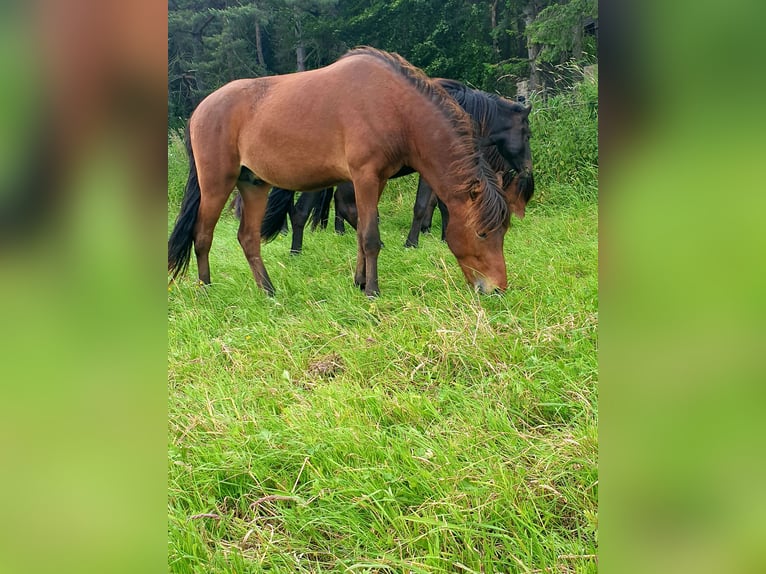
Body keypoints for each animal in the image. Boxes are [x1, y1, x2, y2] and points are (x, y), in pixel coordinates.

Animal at [171, 47, 512, 296]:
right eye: (482, 233)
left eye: (504, 232)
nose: (497, 288)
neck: (393, 106)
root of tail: (200, 110)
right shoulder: (365, 177)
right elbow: (371, 236)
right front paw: (372, 290)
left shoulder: (376, 180)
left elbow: (361, 232)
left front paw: (359, 282)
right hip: (217, 184)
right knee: (202, 235)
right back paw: (206, 288)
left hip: (254, 185)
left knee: (248, 238)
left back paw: (268, 290)